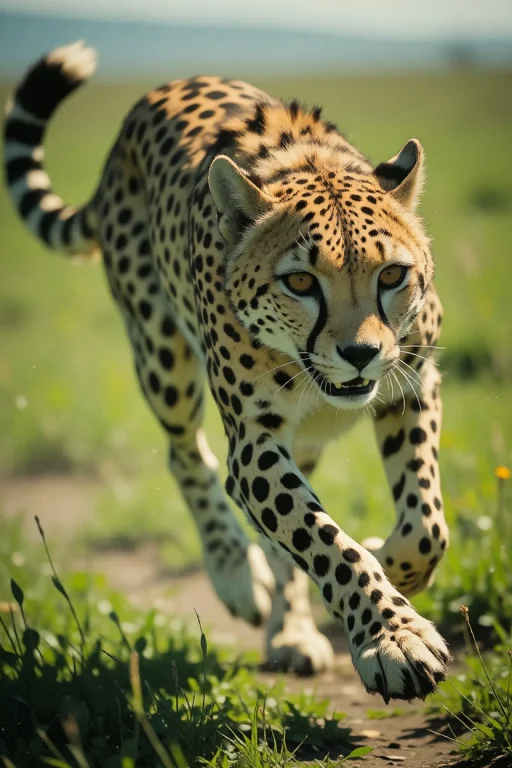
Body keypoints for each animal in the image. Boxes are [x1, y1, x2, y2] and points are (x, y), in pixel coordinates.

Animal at [4, 41, 451, 702]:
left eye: (392, 275)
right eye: (300, 281)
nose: (360, 353)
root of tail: (159, 91)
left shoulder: (413, 386)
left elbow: (425, 520)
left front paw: (393, 563)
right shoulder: (253, 443)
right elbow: (326, 541)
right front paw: (392, 637)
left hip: (304, 434)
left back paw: (290, 633)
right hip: (162, 356)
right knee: (184, 454)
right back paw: (234, 572)